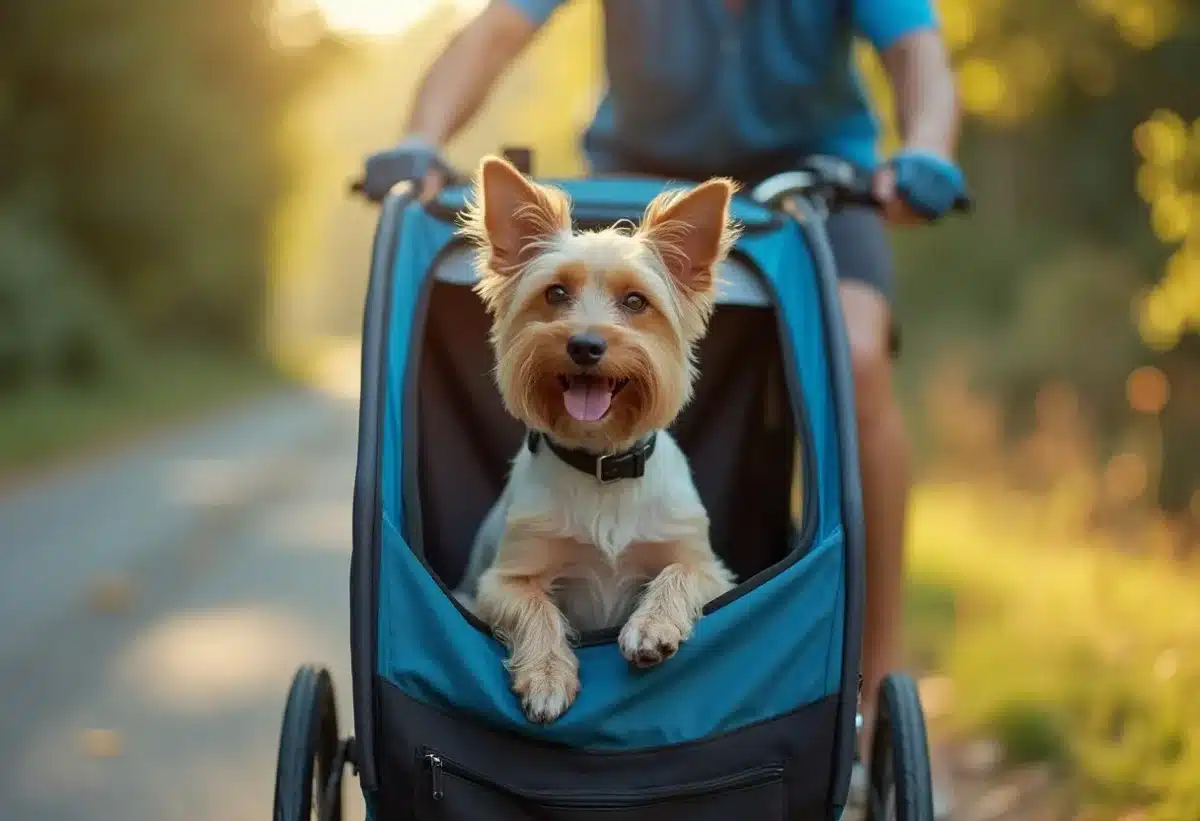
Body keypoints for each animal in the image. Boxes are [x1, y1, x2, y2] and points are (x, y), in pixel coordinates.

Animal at [456, 157, 739, 720]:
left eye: (635, 301)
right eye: (555, 294)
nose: (585, 344)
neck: (604, 464)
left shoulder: (712, 570)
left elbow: (678, 574)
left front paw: (651, 627)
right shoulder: (500, 582)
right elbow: (536, 608)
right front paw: (547, 675)